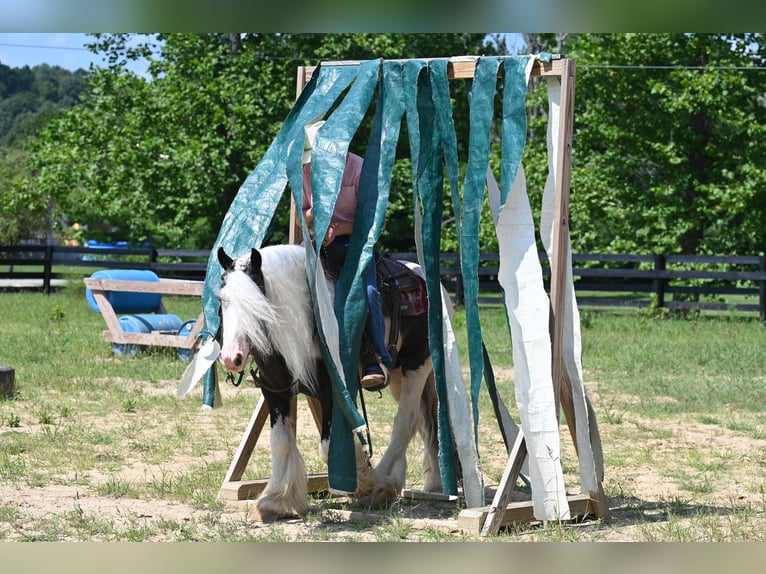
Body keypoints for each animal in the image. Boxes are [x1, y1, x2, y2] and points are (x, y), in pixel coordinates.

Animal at [216, 243, 448, 520]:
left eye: (256, 303)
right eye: (221, 299)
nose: (231, 357)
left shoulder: (332, 393)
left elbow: (328, 446)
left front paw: (362, 479)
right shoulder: (276, 393)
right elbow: (280, 442)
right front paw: (275, 501)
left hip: (417, 365)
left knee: (405, 422)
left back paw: (382, 485)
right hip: (398, 375)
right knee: (424, 422)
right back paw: (430, 484)